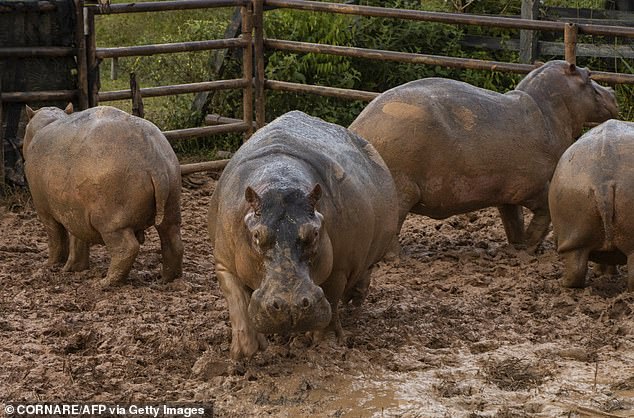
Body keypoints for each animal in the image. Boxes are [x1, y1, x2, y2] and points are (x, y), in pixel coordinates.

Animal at [23, 104, 181, 288]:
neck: (46, 123)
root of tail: (154, 163)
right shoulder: (75, 212)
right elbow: (77, 240)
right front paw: (73, 268)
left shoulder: (45, 211)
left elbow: (56, 238)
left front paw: (50, 265)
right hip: (171, 203)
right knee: (173, 240)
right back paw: (167, 280)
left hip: (111, 222)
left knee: (127, 248)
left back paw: (103, 283)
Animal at [206, 110, 396, 360]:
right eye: (257, 236)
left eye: (314, 232)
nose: (290, 306)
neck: (280, 181)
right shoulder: (224, 262)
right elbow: (237, 301)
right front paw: (246, 352)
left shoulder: (339, 267)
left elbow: (331, 299)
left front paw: (326, 345)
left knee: (363, 272)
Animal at [348, 60, 616, 253]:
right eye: (588, 75)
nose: (613, 90)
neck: (549, 111)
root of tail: (356, 129)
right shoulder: (536, 187)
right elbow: (544, 215)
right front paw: (529, 249)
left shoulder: (507, 193)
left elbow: (513, 220)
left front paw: (517, 248)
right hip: (401, 190)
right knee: (392, 230)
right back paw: (398, 257)